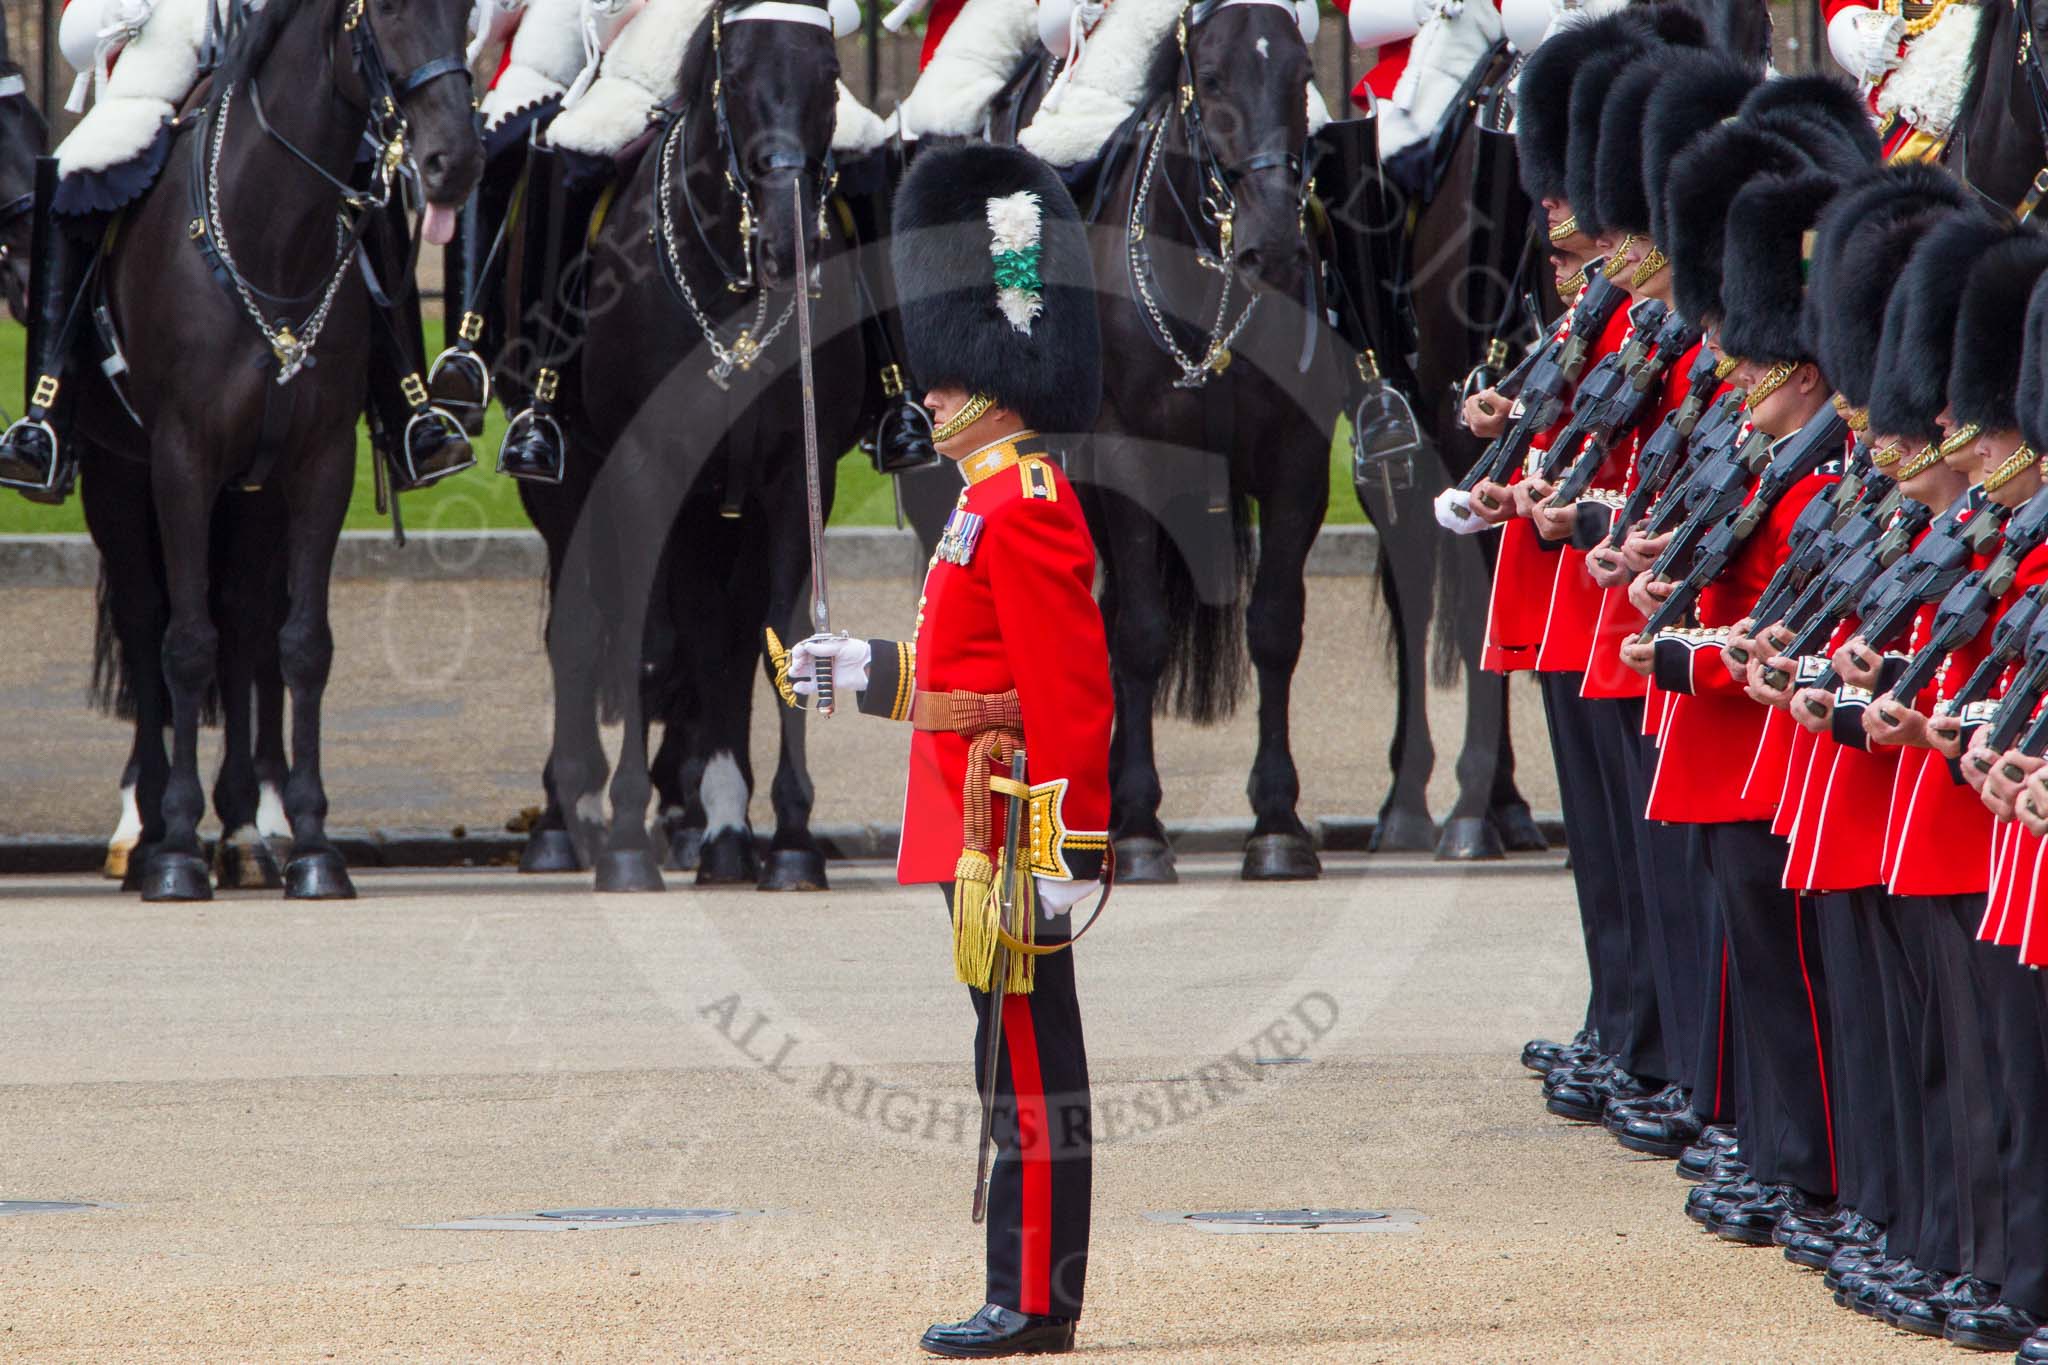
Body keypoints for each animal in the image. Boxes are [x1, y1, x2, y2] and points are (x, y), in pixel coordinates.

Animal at [75, 0, 483, 900]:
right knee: (149, 621)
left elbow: (300, 644)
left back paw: (241, 831)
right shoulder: (180, 463)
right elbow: (184, 645)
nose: (456, 162)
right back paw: (147, 829)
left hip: (252, 496)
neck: (268, 236)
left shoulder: (317, 465)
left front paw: (312, 842)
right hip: (116, 481)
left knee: (242, 619)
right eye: (388, 12)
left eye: (466, 11)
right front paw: (177, 846)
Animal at [516, 0, 868, 892]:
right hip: (569, 489)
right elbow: (643, 648)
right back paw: (573, 819)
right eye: (733, 77)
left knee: (723, 640)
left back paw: (721, 826)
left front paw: (790, 842)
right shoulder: (645, 472)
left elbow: (782, 640)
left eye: (830, 74)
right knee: (580, 634)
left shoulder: (794, 480)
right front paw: (627, 840)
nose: (785, 245)